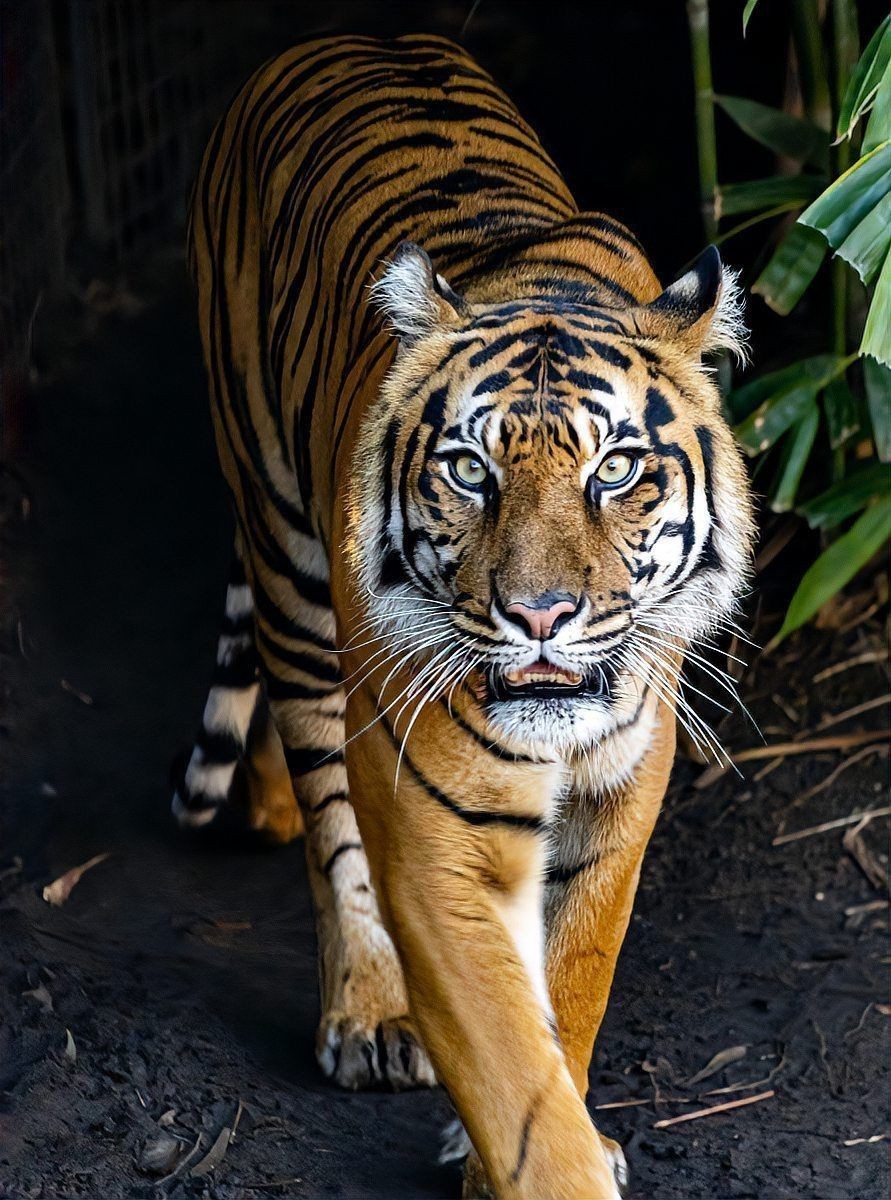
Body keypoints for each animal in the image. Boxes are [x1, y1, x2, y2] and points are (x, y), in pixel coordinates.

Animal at [172, 32, 754, 1199]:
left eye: (615, 470)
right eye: (469, 471)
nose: (539, 615)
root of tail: (334, 39)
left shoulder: (623, 791)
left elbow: (571, 983)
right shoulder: (433, 830)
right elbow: (507, 1063)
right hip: (291, 564)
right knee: (327, 809)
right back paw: (363, 1007)